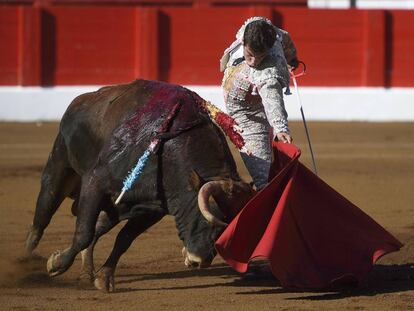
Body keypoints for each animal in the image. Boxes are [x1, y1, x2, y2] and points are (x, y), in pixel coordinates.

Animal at [25, 80, 256, 292]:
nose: (199, 260)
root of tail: (80, 100)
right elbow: (83, 233)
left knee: (98, 227)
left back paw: (86, 273)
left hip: (115, 206)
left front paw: (104, 277)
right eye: (210, 216)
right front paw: (56, 263)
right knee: (42, 217)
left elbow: (123, 239)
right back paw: (26, 262)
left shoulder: (152, 211)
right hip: (58, 168)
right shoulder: (96, 183)